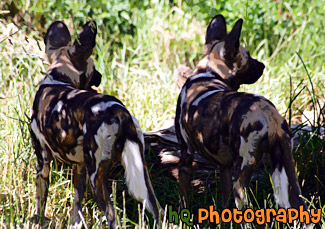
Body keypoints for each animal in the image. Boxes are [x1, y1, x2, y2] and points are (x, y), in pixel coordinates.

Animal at [30, 20, 162, 227]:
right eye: (93, 68)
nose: (100, 75)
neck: (59, 77)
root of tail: (119, 111)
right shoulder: (79, 166)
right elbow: (77, 205)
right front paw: (76, 225)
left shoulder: (43, 161)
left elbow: (40, 201)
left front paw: (38, 221)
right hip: (142, 172)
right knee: (159, 211)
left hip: (96, 178)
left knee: (112, 217)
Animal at [175, 14, 306, 213]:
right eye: (249, 56)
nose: (263, 65)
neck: (209, 73)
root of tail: (269, 116)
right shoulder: (224, 166)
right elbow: (224, 200)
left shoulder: (186, 156)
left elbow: (183, 199)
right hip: (289, 170)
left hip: (241, 176)